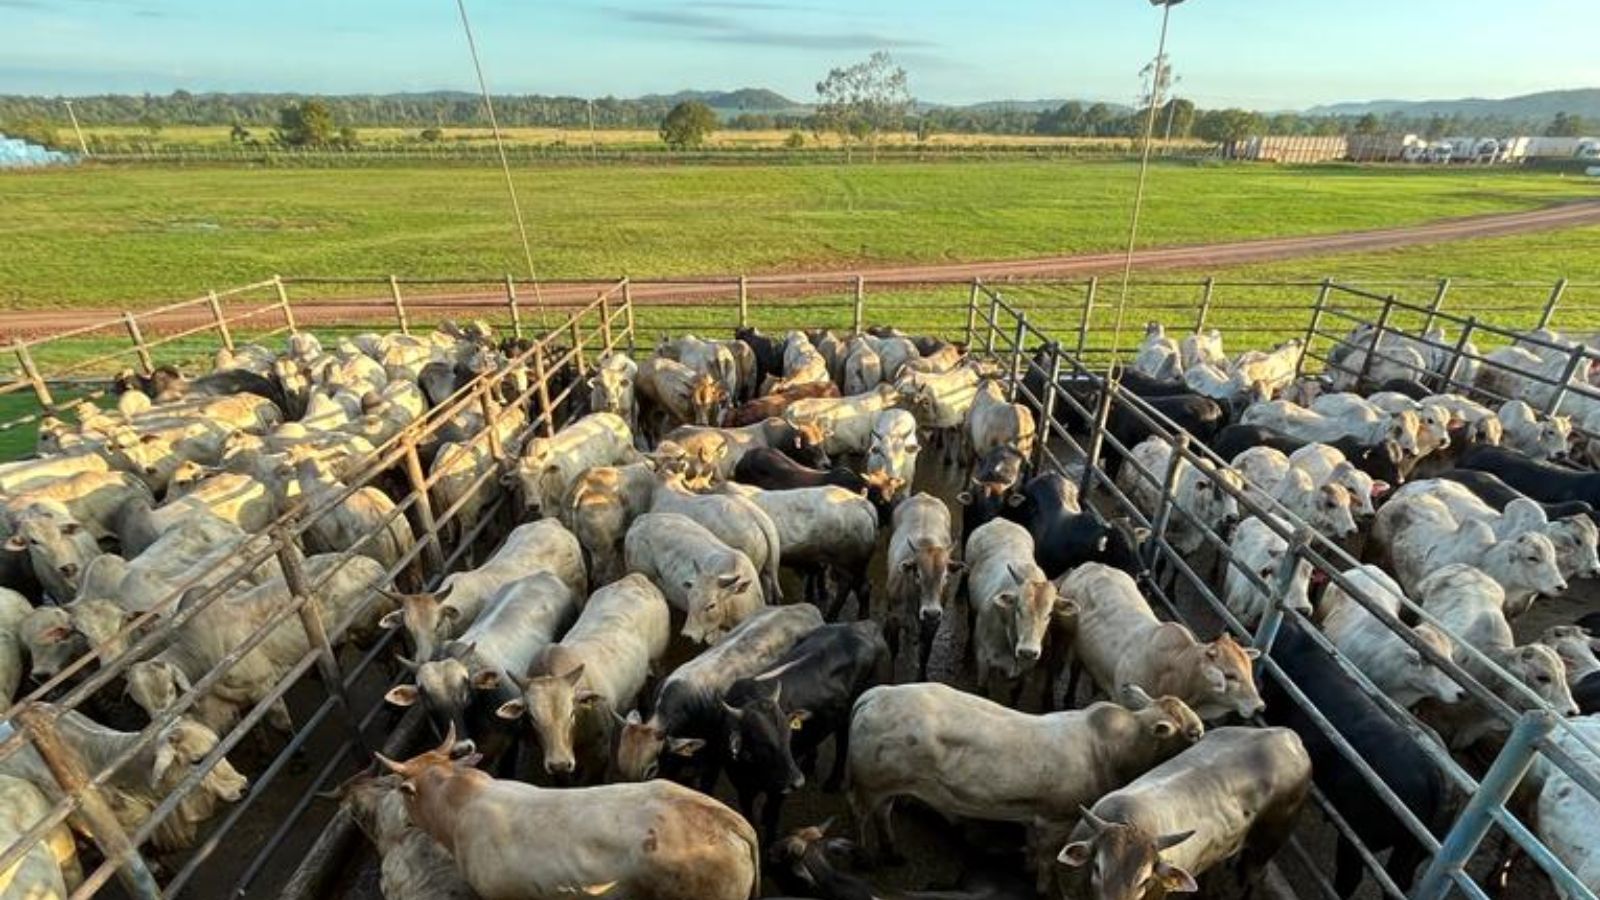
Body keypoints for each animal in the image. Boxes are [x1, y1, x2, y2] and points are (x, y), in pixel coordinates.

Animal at [723, 621, 889, 839]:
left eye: (788, 738)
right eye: (761, 742)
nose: (797, 781)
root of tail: (866, 625)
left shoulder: (778, 791)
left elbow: (772, 821)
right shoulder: (743, 789)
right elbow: (750, 821)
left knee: (843, 742)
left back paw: (832, 782)